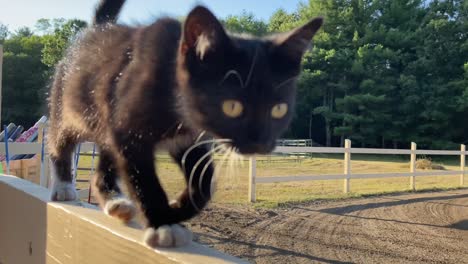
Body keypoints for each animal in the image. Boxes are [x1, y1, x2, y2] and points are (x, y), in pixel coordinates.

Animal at [49, 0, 324, 248]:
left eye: (279, 109)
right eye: (232, 106)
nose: (259, 143)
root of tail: (99, 28)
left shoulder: (188, 138)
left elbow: (204, 180)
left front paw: (174, 210)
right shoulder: (130, 130)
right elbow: (143, 178)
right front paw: (162, 223)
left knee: (105, 159)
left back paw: (114, 201)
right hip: (70, 106)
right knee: (60, 139)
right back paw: (63, 186)